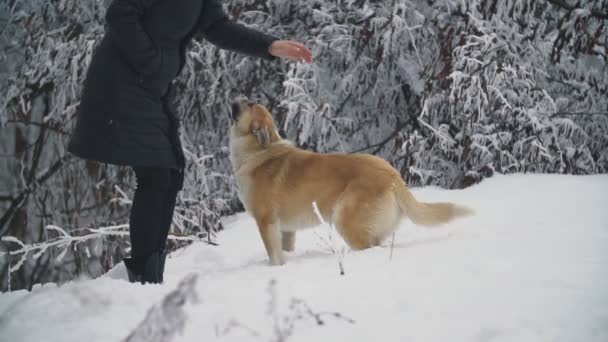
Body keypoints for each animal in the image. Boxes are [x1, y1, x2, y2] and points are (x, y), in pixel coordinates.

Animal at [230, 95, 472, 264]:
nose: (238, 96)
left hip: (344, 219)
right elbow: (286, 249)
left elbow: (274, 255)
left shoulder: (266, 221)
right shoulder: (286, 229)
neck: (259, 150)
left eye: (249, 103)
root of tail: (393, 175)